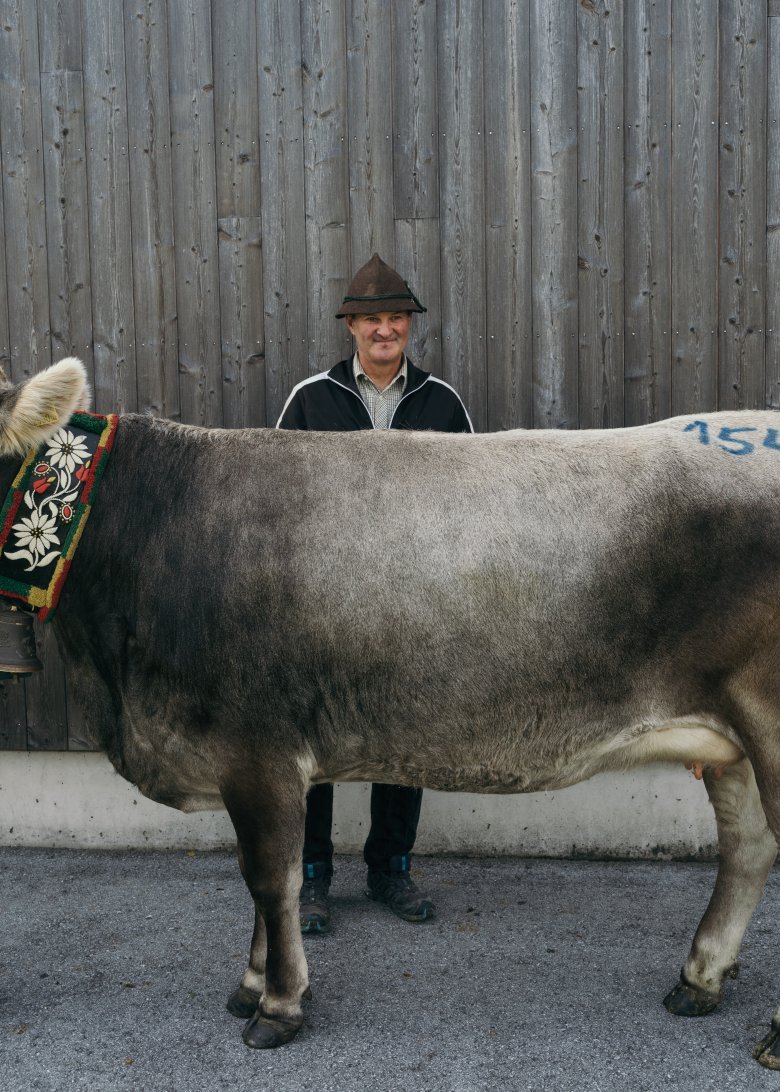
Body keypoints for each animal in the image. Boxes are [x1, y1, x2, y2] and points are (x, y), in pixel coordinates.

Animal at [0, 355, 773, 1065]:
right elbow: (263, 877)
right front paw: (252, 985)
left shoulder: (256, 749)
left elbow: (269, 878)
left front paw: (278, 1005)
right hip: (732, 737)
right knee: (749, 847)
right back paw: (699, 980)